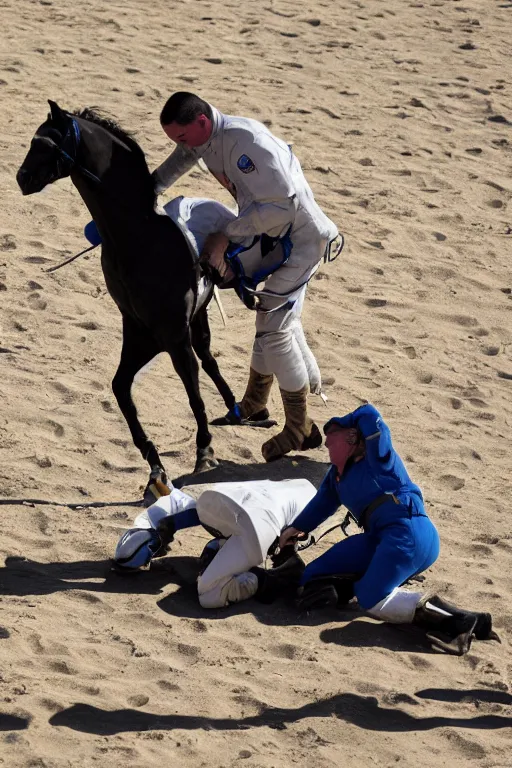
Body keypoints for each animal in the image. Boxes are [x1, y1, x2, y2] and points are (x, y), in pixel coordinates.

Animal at [16, 99, 237, 493]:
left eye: (46, 144)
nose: (21, 178)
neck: (136, 237)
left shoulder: (173, 335)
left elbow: (192, 390)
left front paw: (204, 451)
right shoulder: (139, 332)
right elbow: (121, 389)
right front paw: (154, 466)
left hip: (196, 320)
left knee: (206, 361)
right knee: (208, 361)